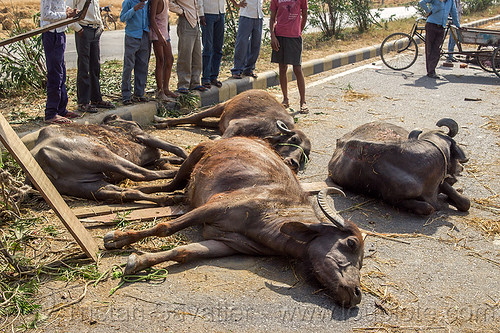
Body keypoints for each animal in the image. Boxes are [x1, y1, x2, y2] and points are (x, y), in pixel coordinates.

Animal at [30, 114, 188, 204]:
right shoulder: (142, 135)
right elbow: (176, 148)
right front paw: (186, 158)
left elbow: (165, 158)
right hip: (103, 155)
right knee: (143, 175)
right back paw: (177, 176)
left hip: (88, 187)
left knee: (126, 192)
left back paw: (169, 198)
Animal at [103, 136, 366, 308]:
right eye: (351, 243)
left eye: (362, 263)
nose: (356, 293)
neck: (270, 216)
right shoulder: (214, 206)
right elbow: (165, 227)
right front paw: (118, 239)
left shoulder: (227, 244)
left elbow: (185, 252)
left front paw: (138, 262)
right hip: (196, 154)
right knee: (168, 184)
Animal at [154, 89, 310, 172]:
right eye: (293, 139)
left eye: (304, 155)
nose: (293, 162)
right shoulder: (237, 124)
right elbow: (223, 139)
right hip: (221, 106)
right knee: (194, 117)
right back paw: (162, 121)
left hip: (220, 119)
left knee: (200, 122)